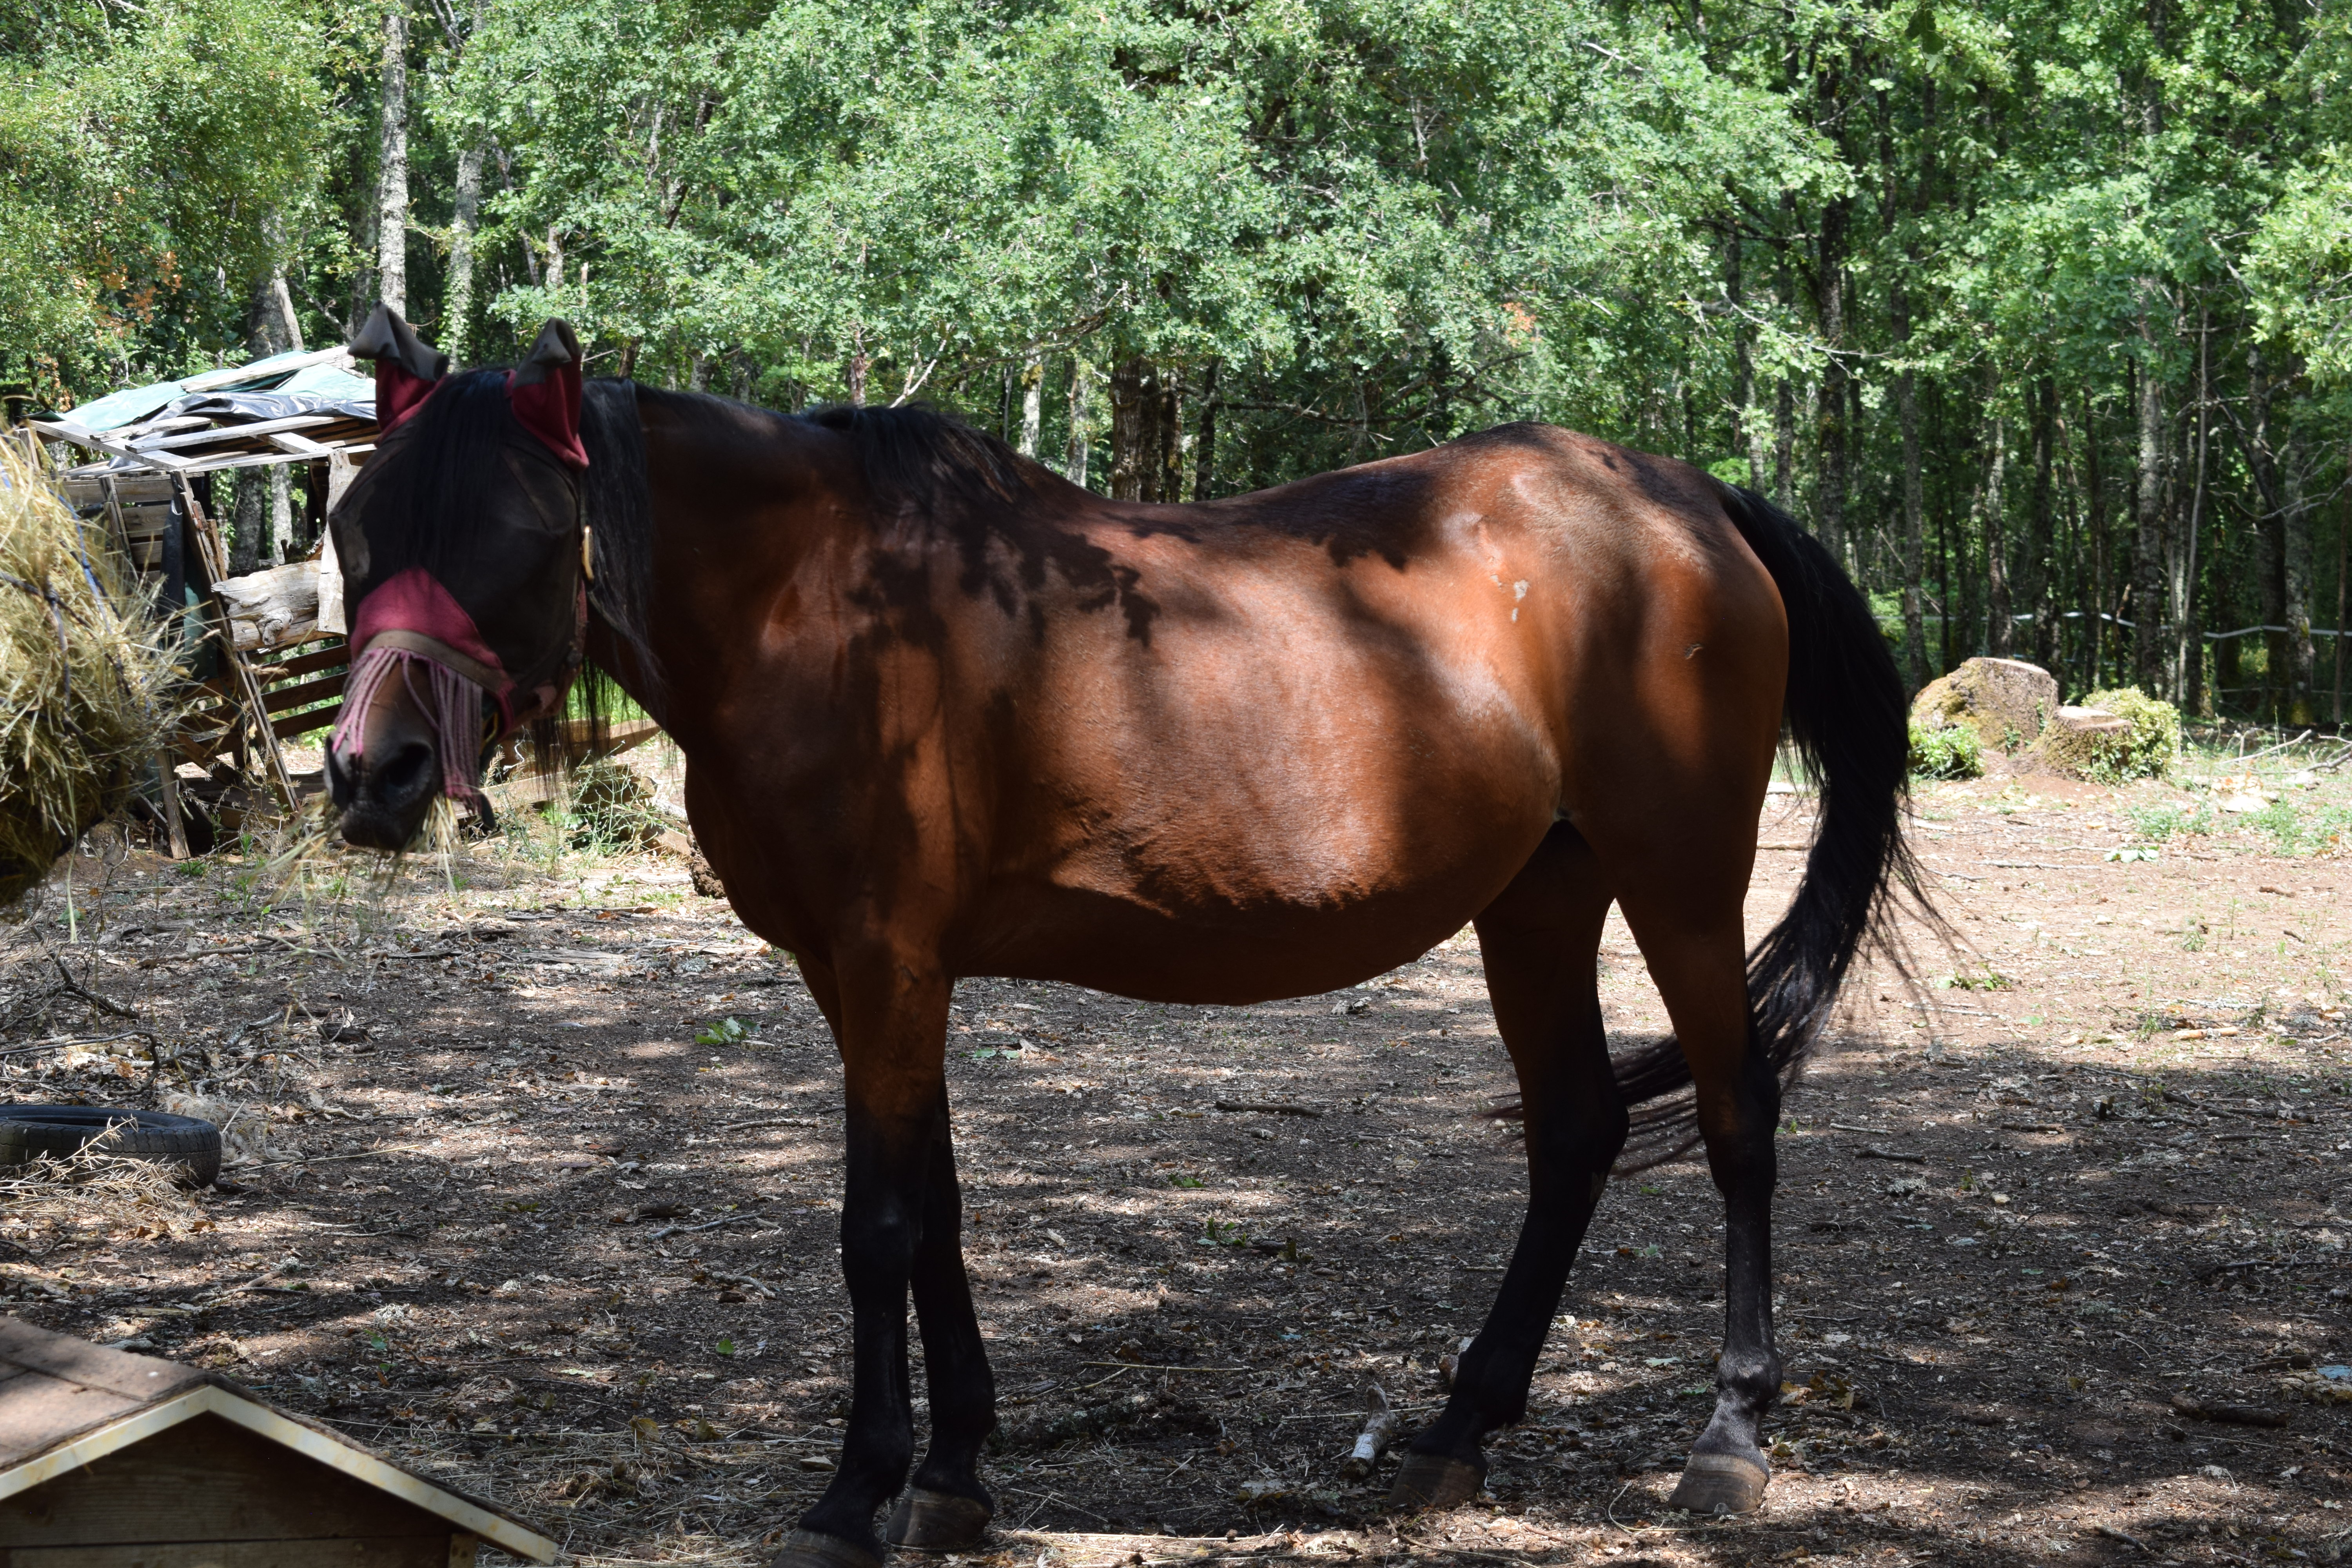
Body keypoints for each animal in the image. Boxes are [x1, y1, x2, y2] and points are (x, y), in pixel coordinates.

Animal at [326, 307, 1921, 1567]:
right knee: (1578, 1130)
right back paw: (1456, 1427)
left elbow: (876, 1226)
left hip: (1680, 880)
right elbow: (935, 1213)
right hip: (1536, 897)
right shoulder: (872, 975)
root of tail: (1687, 500)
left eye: (522, 532)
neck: (818, 606)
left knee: (1734, 1116)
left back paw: (1728, 1435)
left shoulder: (886, 959)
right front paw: (954, 1474)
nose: (371, 775)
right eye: (352, 530)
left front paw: (855, 1493)